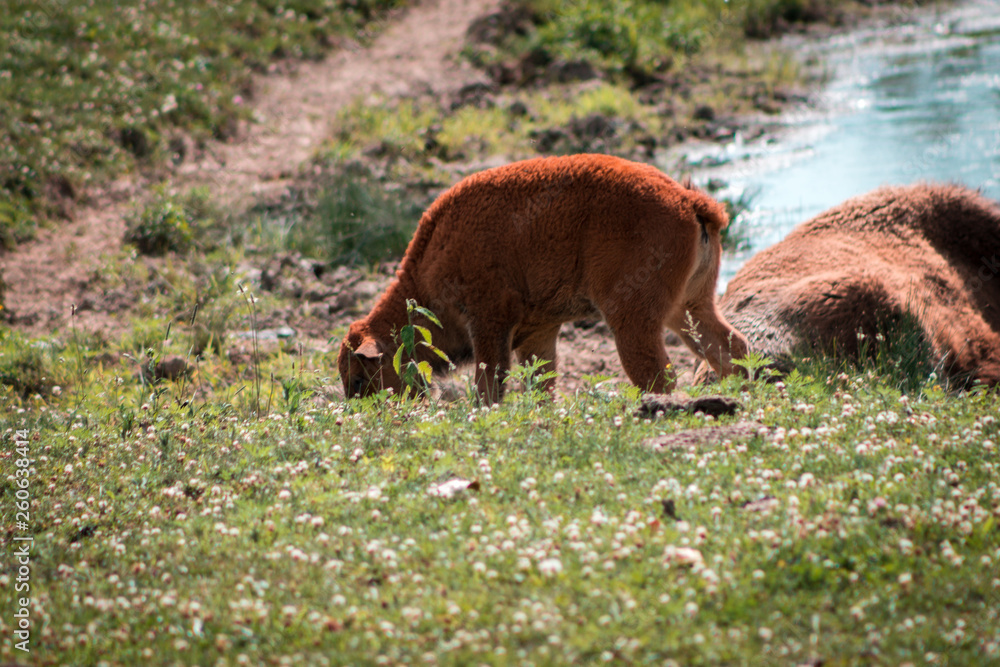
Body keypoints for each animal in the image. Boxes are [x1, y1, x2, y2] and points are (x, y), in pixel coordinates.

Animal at [340, 153, 748, 402]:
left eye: (359, 378)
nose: (365, 411)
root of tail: (688, 201)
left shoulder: (490, 322)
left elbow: (490, 386)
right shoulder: (538, 333)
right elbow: (542, 384)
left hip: (632, 318)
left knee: (657, 375)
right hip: (690, 308)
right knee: (730, 348)